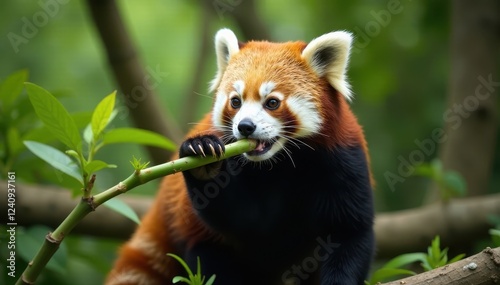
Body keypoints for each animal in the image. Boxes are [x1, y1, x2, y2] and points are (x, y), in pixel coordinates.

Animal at [105, 27, 374, 284]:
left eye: (272, 102)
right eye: (236, 101)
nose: (245, 126)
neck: (280, 164)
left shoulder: (342, 160)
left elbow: (350, 234)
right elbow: (244, 221)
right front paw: (203, 161)